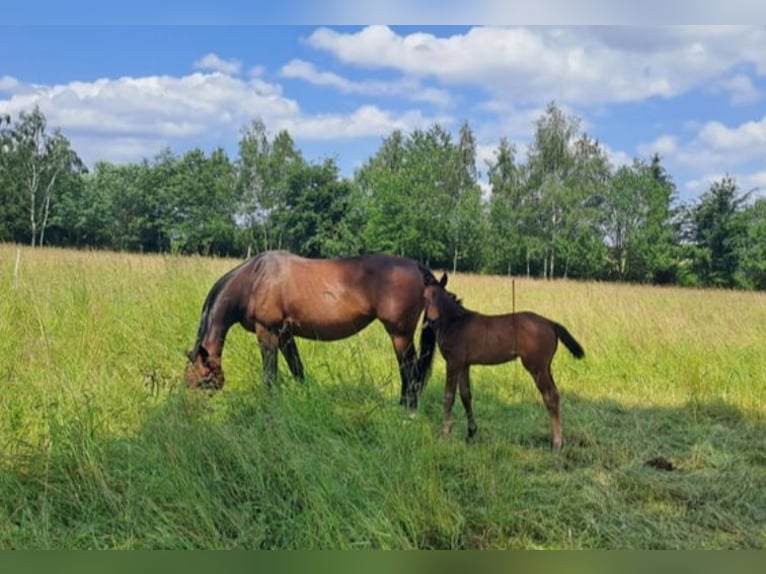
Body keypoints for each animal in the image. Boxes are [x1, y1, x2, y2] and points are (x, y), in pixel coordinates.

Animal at [182, 252, 440, 410]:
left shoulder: (267, 332)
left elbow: (270, 375)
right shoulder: (285, 336)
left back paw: (406, 409)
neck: (254, 280)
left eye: (203, 381)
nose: (192, 414)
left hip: (400, 335)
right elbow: (298, 369)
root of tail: (417, 268)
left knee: (410, 371)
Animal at [424, 276, 584, 454]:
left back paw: (557, 444)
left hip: (536, 367)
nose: (431, 320)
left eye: (440, 297)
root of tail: (550, 323)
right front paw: (471, 432)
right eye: (425, 297)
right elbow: (466, 395)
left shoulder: (453, 362)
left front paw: (444, 435)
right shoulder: (464, 364)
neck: (456, 323)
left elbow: (448, 396)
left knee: (551, 396)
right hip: (546, 367)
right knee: (554, 394)